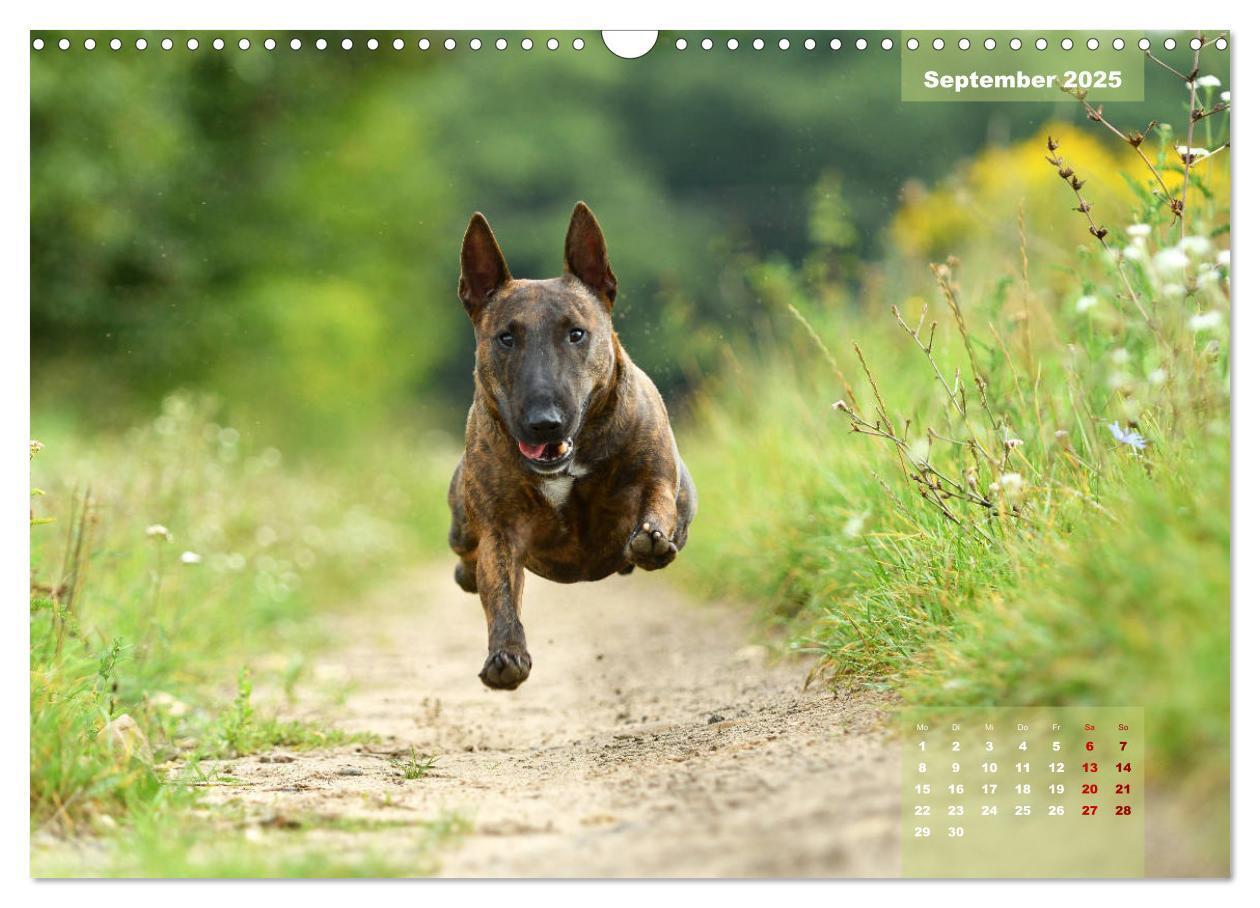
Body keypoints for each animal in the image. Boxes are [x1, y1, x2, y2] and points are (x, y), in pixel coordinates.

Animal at [446, 201, 700, 690]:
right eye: (506, 337)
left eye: (576, 333)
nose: (544, 423)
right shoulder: (500, 529)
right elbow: (499, 590)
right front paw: (506, 655)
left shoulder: (658, 477)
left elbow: (656, 502)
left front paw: (652, 540)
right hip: (461, 519)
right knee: (468, 558)